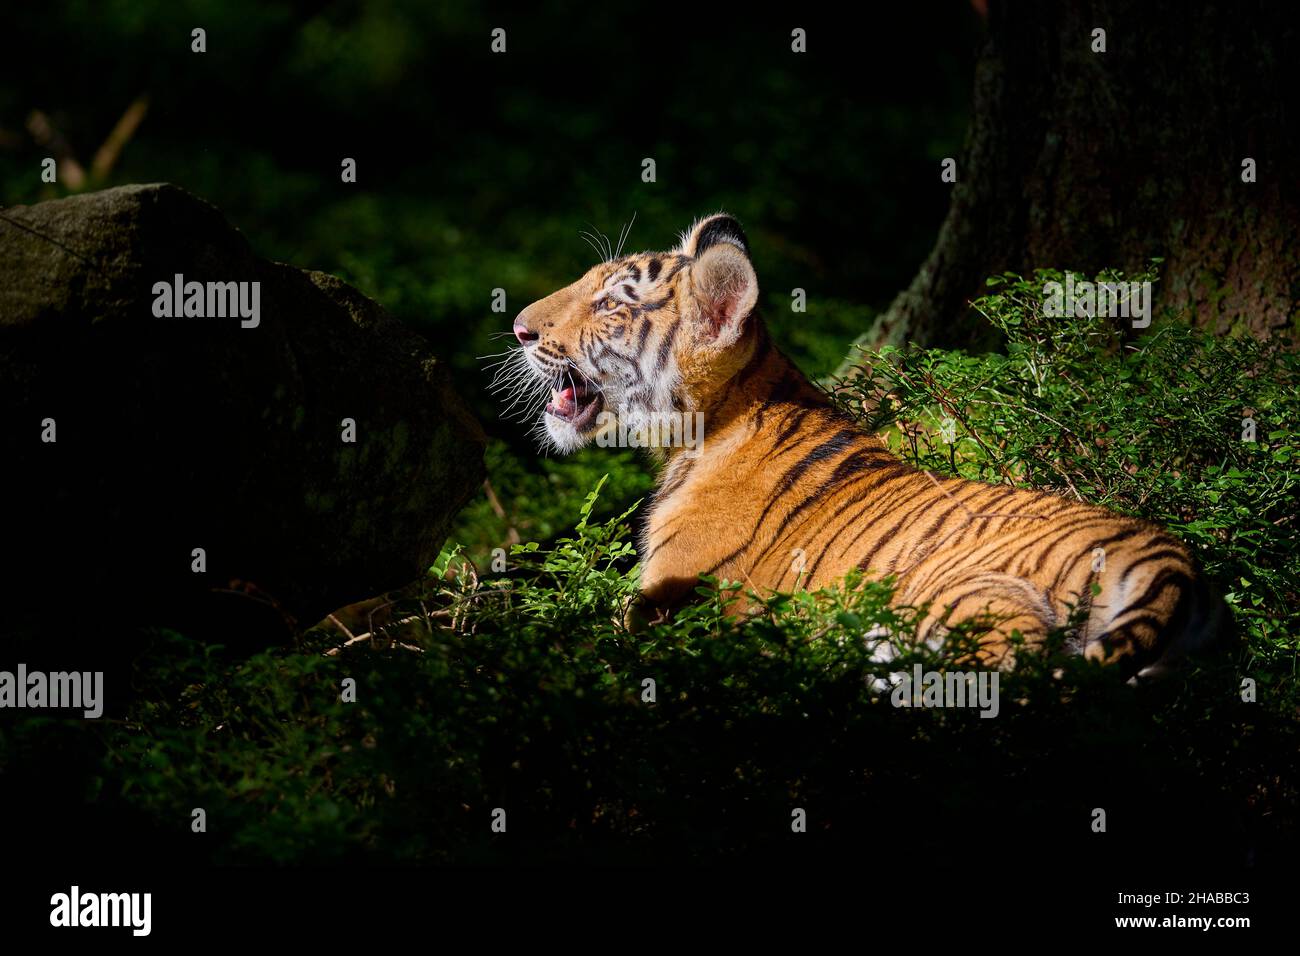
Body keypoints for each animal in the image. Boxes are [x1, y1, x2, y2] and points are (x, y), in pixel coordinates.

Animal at [502, 213, 1225, 677]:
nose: (518, 328)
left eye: (610, 305)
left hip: (963, 602)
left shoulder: (661, 598)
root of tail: (1170, 562)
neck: (708, 427)